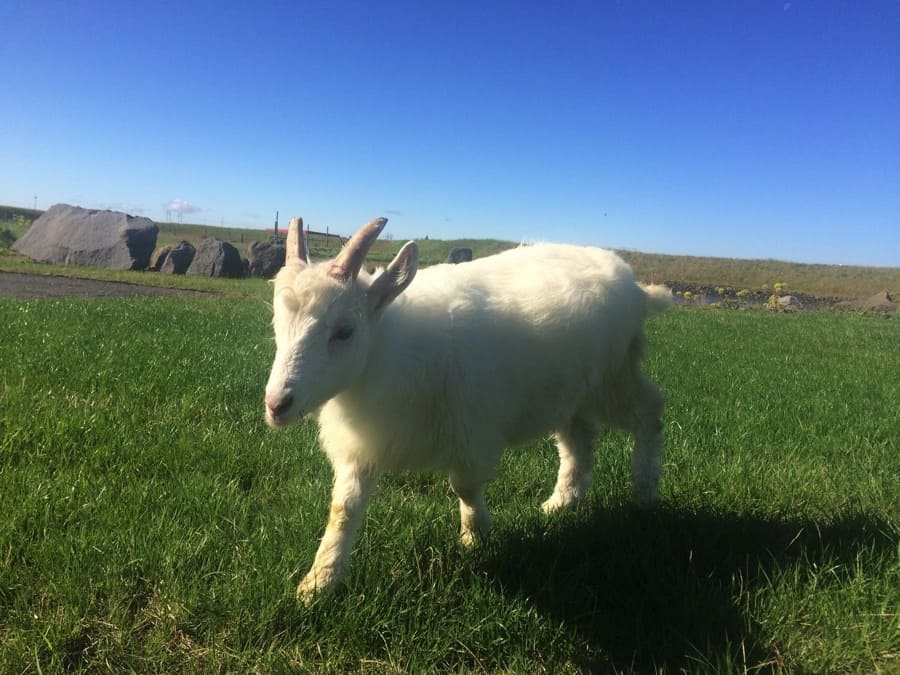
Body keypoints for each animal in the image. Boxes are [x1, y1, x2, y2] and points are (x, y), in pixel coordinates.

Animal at [264, 215, 672, 596]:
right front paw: (319, 582)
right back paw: (561, 502)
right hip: (572, 392)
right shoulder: (364, 444)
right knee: (579, 441)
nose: (276, 404)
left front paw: (475, 536)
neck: (388, 347)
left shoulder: (471, 432)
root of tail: (634, 284)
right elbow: (343, 509)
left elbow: (464, 487)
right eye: (276, 322)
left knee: (649, 411)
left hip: (613, 379)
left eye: (345, 331)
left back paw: (644, 495)